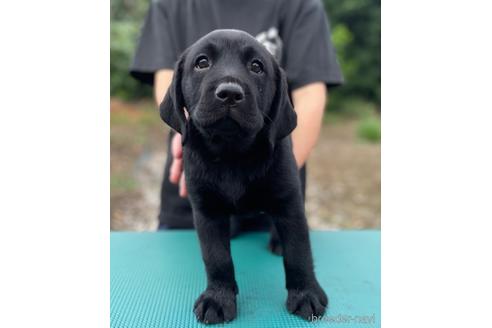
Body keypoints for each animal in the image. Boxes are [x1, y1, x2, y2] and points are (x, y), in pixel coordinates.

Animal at [160, 29, 326, 324]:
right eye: (202, 63)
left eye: (256, 67)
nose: (229, 93)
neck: (232, 153)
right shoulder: (206, 211)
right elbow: (217, 258)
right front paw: (218, 298)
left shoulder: (289, 202)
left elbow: (299, 251)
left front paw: (306, 294)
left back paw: (276, 242)